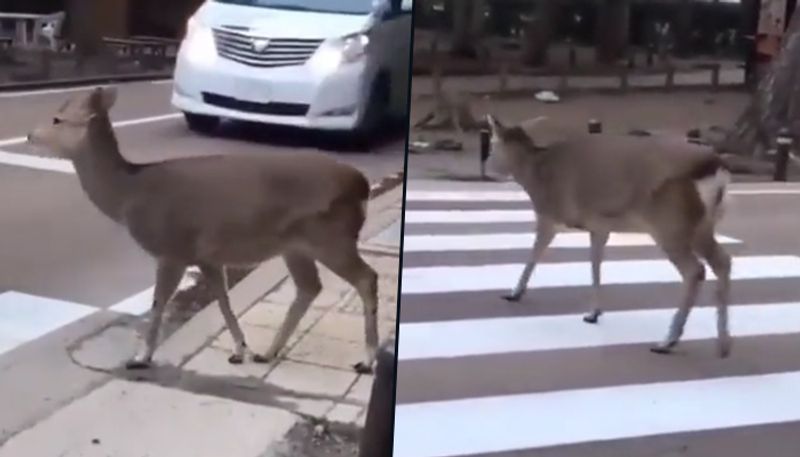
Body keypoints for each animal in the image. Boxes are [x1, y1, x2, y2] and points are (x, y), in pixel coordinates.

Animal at [26, 86, 382, 374]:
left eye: (58, 119)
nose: (30, 135)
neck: (129, 195)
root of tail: (362, 185)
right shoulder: (207, 255)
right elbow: (222, 298)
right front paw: (239, 350)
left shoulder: (172, 248)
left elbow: (159, 302)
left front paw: (140, 357)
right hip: (296, 246)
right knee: (309, 287)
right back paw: (268, 353)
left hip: (331, 236)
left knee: (367, 277)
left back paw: (366, 360)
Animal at [484, 113, 736, 356]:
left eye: (493, 145)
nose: (486, 168)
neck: (535, 174)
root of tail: (715, 167)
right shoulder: (599, 225)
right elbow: (595, 264)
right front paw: (593, 313)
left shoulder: (549, 215)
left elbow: (534, 255)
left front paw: (514, 293)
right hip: (702, 225)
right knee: (723, 260)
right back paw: (723, 343)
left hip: (670, 223)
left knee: (695, 270)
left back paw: (667, 341)